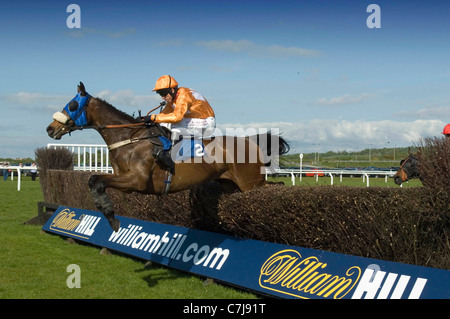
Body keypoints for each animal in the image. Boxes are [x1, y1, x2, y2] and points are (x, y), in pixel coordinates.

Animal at [46, 82, 292, 231]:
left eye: (72, 105)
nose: (50, 128)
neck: (129, 139)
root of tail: (251, 140)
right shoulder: (126, 182)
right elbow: (93, 180)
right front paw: (107, 212)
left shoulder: (137, 180)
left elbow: (96, 180)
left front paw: (110, 215)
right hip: (232, 186)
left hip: (251, 183)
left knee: (275, 188)